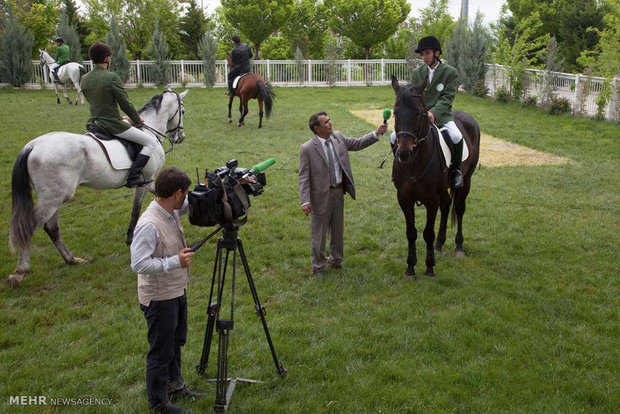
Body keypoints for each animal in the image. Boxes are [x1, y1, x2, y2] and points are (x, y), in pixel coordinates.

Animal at [8, 88, 189, 286]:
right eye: (183, 111)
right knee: (30, 227)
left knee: (51, 228)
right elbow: (136, 211)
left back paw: (72, 260)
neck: (150, 130)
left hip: (55, 198)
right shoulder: (145, 180)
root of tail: (32, 146)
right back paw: (20, 271)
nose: (181, 137)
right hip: (52, 199)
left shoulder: (148, 182)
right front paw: (130, 239)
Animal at [390, 76, 482, 280]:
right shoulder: (404, 198)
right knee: (446, 205)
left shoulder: (431, 199)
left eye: (419, 113)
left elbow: (427, 233)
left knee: (459, 208)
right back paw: (440, 244)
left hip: (467, 179)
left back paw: (458, 246)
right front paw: (410, 268)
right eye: (395, 112)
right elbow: (411, 232)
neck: (414, 164)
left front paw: (429, 267)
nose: (404, 153)